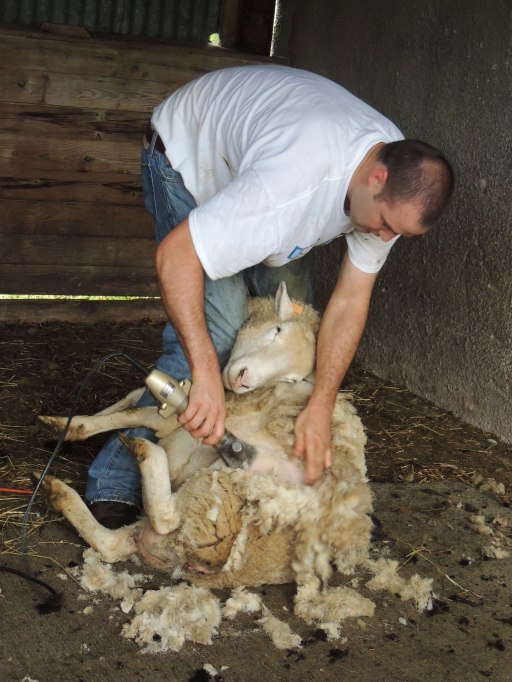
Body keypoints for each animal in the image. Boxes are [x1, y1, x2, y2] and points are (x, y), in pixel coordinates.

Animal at [39, 282, 377, 630]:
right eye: (276, 331)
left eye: (293, 379)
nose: (243, 379)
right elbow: (132, 400)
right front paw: (66, 427)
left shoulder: (185, 417)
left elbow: (137, 412)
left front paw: (75, 426)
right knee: (114, 545)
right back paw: (59, 491)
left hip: (226, 486)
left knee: (163, 515)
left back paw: (141, 450)